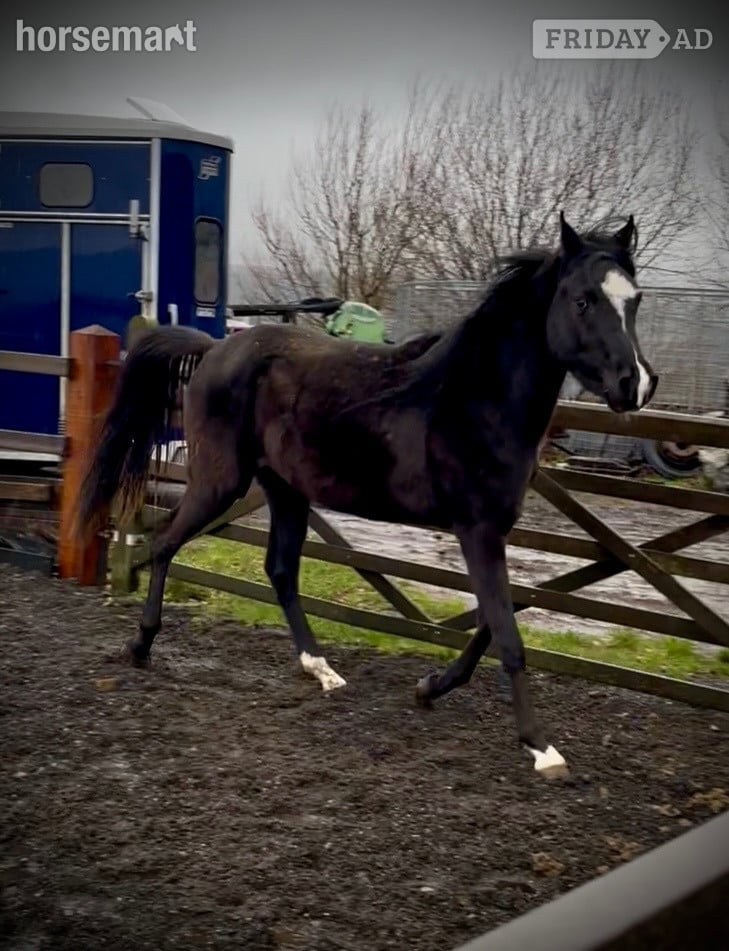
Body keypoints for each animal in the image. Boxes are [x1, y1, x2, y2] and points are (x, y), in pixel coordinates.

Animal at [74, 213, 657, 778]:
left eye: (635, 299)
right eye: (583, 299)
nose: (636, 384)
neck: (478, 397)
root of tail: (217, 348)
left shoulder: (494, 532)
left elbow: (492, 624)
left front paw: (429, 688)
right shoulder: (476, 530)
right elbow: (508, 637)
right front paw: (542, 749)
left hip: (285, 490)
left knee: (279, 570)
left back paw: (322, 670)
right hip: (220, 481)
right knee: (166, 543)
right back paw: (141, 645)